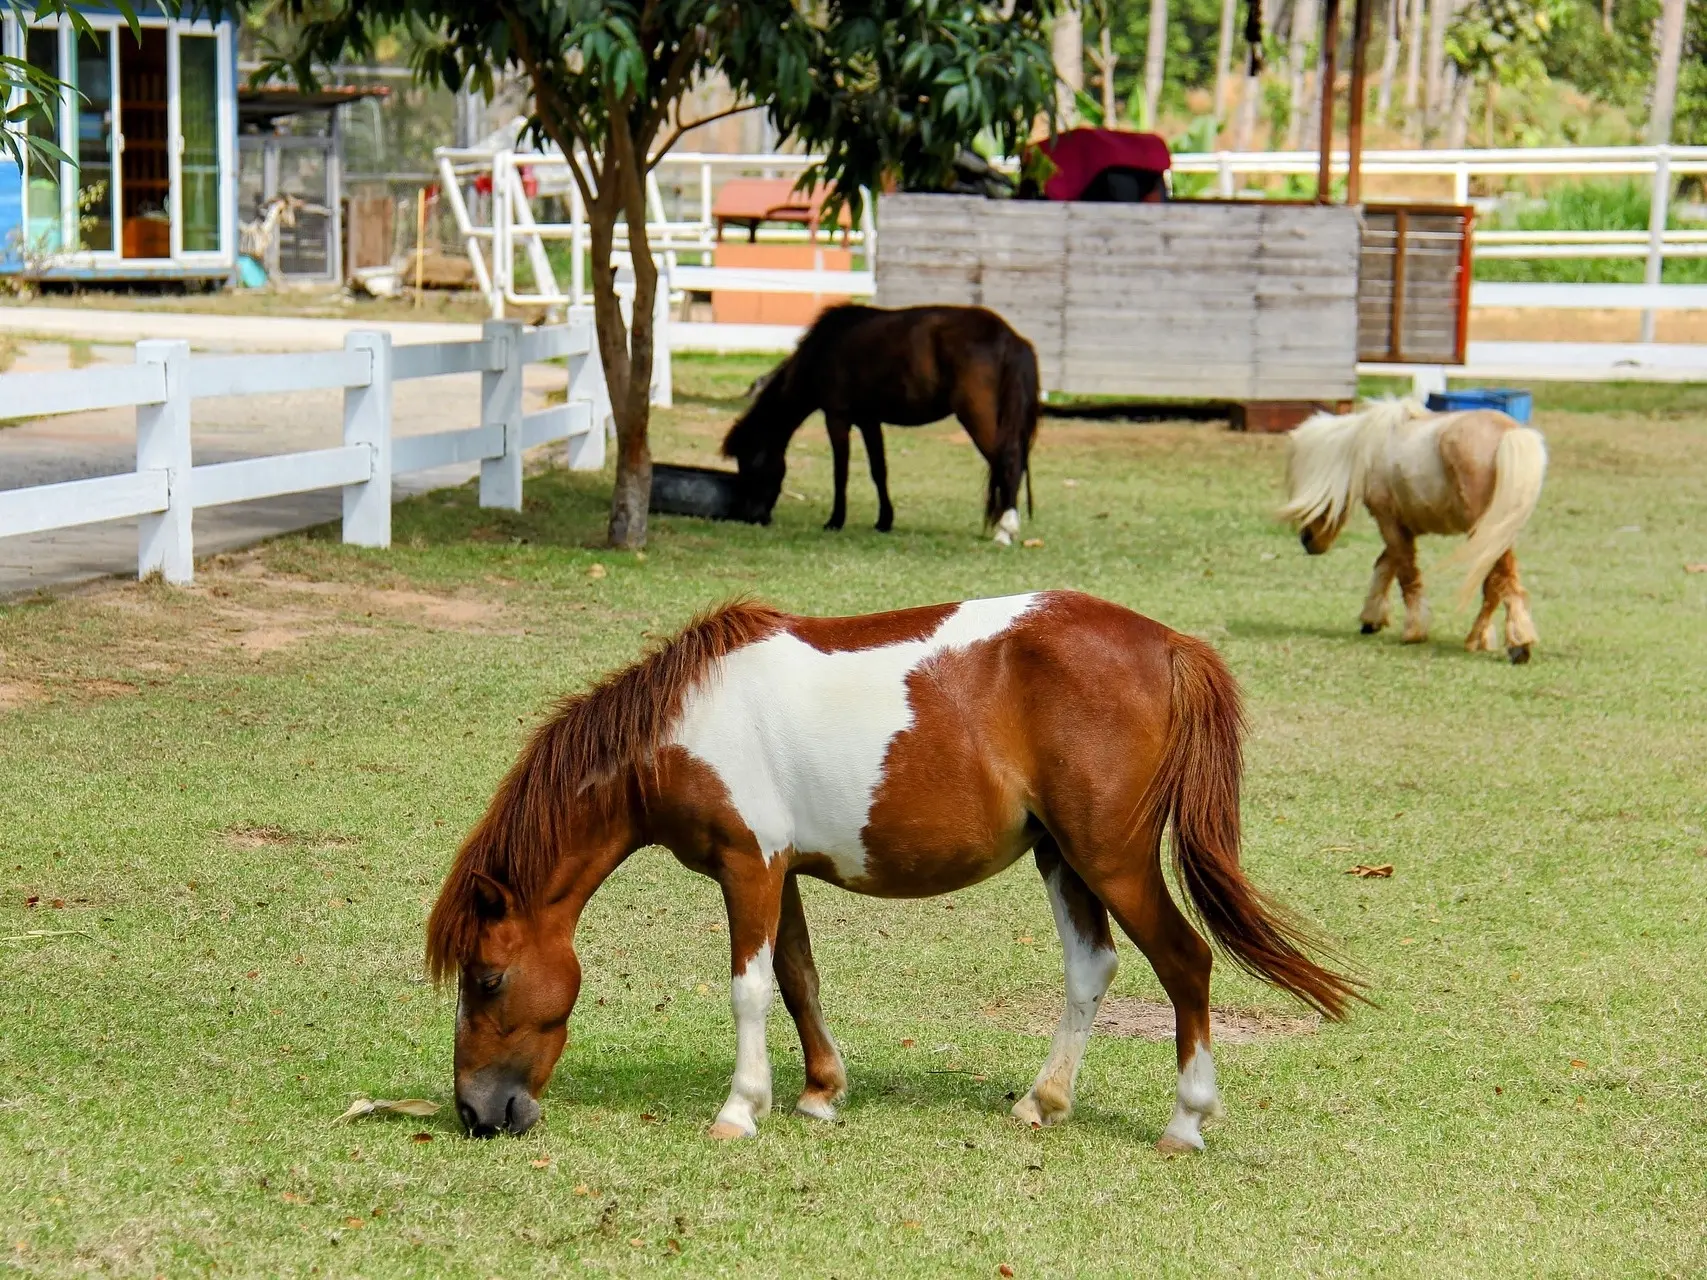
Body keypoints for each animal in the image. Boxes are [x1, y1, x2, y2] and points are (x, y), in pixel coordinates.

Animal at [426, 597, 1358, 1160]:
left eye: (488, 978)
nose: (475, 1114)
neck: (683, 726)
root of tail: (1168, 644)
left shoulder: (747, 867)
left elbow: (748, 989)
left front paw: (740, 1108)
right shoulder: (782, 871)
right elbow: (797, 977)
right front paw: (818, 1092)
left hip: (1113, 859)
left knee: (1185, 963)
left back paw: (1184, 1121)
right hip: (1063, 857)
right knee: (1092, 968)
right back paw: (1044, 1100)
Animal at [720, 305, 1037, 546]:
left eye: (752, 465)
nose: (755, 517)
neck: (825, 346)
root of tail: (1009, 337)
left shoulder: (837, 418)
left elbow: (841, 472)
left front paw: (835, 520)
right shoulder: (869, 420)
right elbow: (878, 471)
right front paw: (884, 520)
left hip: (976, 415)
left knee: (1008, 461)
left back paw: (1005, 530)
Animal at [1283, 399, 1549, 662]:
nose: (1307, 540)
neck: (1369, 450)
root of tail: (1511, 433)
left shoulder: (1389, 522)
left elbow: (1405, 574)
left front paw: (1413, 631)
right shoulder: (1402, 525)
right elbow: (1386, 566)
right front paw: (1372, 619)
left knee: (1503, 582)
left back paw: (1517, 642)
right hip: (1495, 535)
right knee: (1496, 584)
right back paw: (1478, 639)